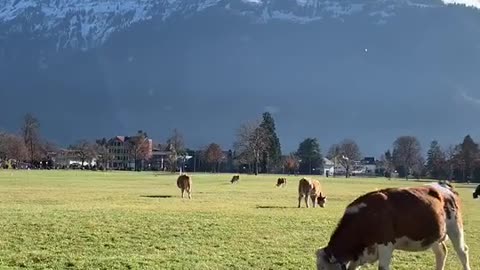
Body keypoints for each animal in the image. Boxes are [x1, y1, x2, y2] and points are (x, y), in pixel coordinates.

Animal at [316, 182, 470, 270]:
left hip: (455, 228)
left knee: (462, 252)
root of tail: (445, 186)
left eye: (323, 269)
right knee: (441, 253)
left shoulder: (385, 245)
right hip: (434, 236)